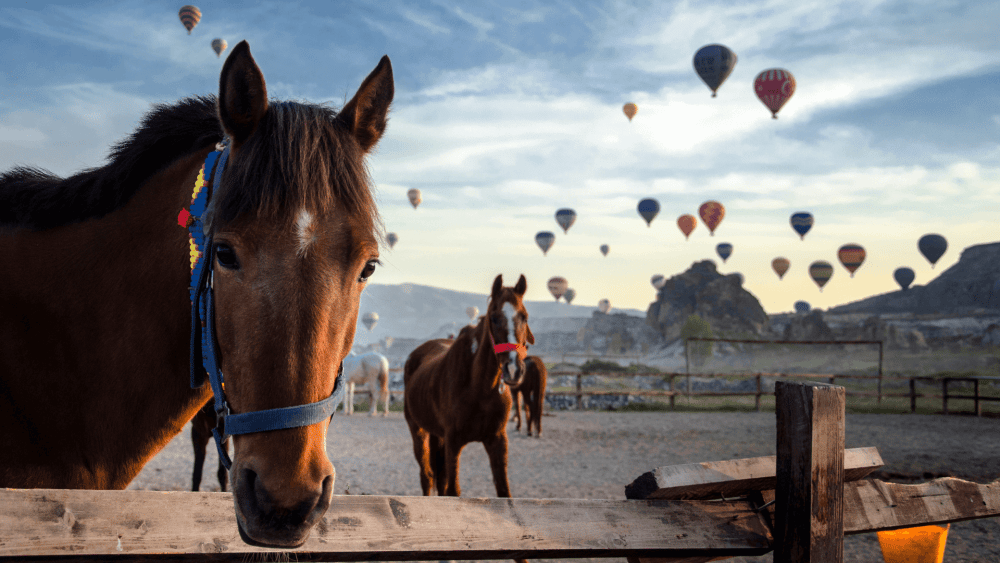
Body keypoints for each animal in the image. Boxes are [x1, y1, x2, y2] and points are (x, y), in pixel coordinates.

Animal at [403, 274, 535, 501]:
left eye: (524, 316)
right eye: (494, 317)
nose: (513, 369)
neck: (479, 388)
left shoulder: (497, 440)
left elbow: (504, 492)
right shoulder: (454, 441)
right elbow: (453, 491)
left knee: (440, 478)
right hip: (418, 430)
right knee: (427, 476)